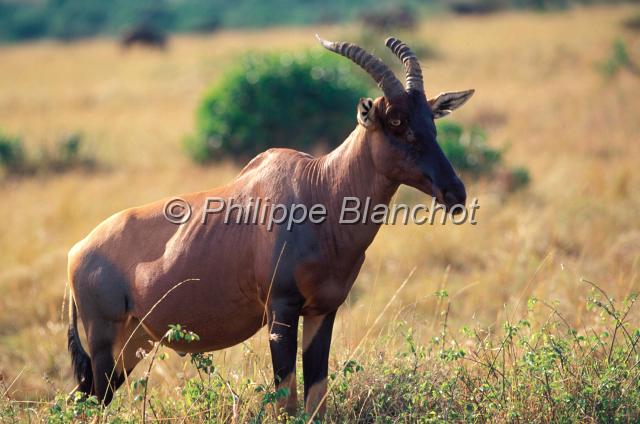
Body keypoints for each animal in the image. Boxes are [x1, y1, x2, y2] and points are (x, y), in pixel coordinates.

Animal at [66, 35, 476, 418]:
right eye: (395, 122)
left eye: (431, 120)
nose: (454, 192)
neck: (319, 188)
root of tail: (77, 251)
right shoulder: (281, 309)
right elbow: (286, 400)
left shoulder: (323, 311)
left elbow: (316, 397)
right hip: (105, 339)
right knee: (90, 400)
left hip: (133, 342)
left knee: (82, 398)